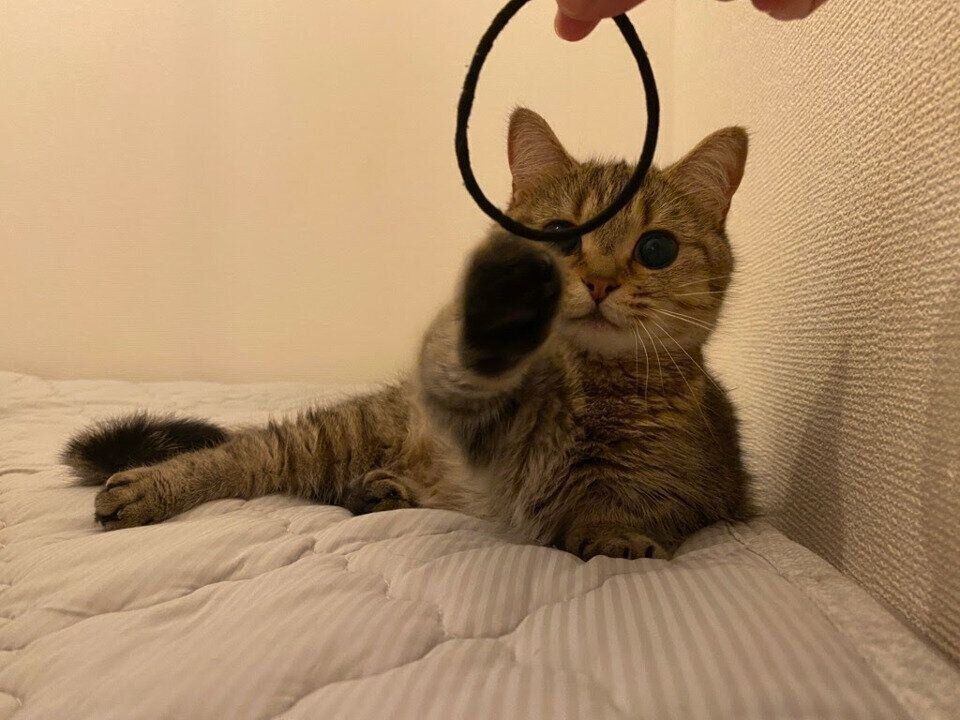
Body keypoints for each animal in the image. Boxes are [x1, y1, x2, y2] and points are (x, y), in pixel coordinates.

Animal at [62, 108, 754, 560]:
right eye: (561, 235)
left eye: (657, 249)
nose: (601, 282)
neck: (587, 382)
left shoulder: (699, 485)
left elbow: (629, 501)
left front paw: (614, 536)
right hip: (343, 433)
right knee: (252, 452)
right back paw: (154, 483)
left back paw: (384, 490)